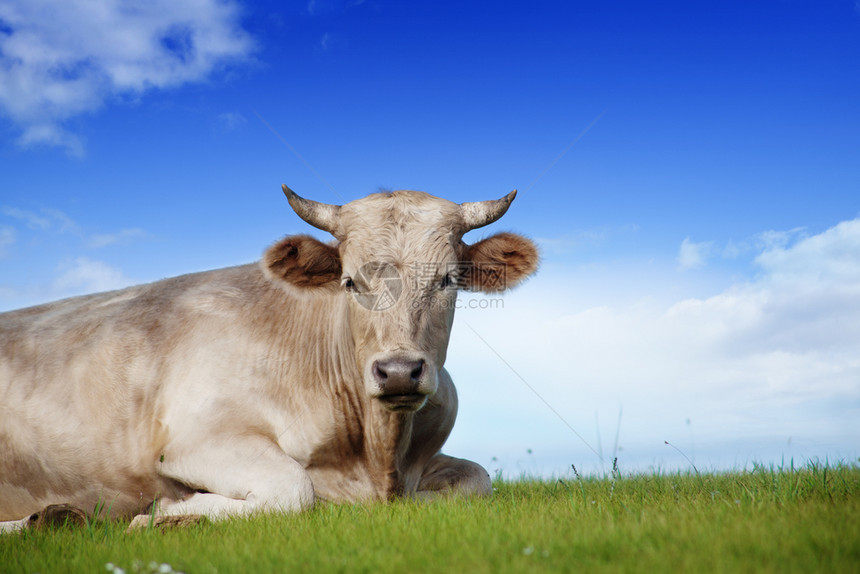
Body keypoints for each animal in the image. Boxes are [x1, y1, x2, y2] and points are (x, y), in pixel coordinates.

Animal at [0, 187, 536, 532]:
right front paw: (167, 514)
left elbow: (477, 480)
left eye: (447, 279)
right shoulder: (196, 439)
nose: (399, 372)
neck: (376, 454)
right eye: (349, 282)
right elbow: (292, 489)